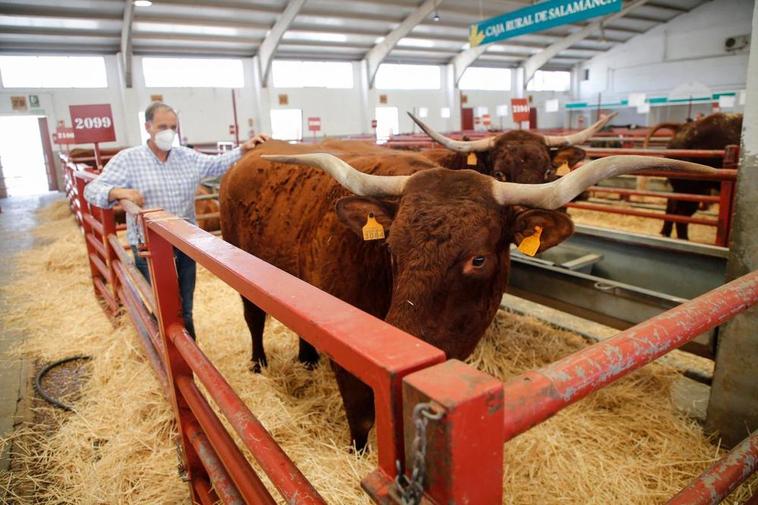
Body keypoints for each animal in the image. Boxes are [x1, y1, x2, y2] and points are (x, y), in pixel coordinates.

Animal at [220, 139, 720, 448]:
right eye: (391, 246)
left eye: (478, 259)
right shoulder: (353, 360)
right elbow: (362, 418)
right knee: (253, 318)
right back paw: (258, 364)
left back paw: (306, 359)